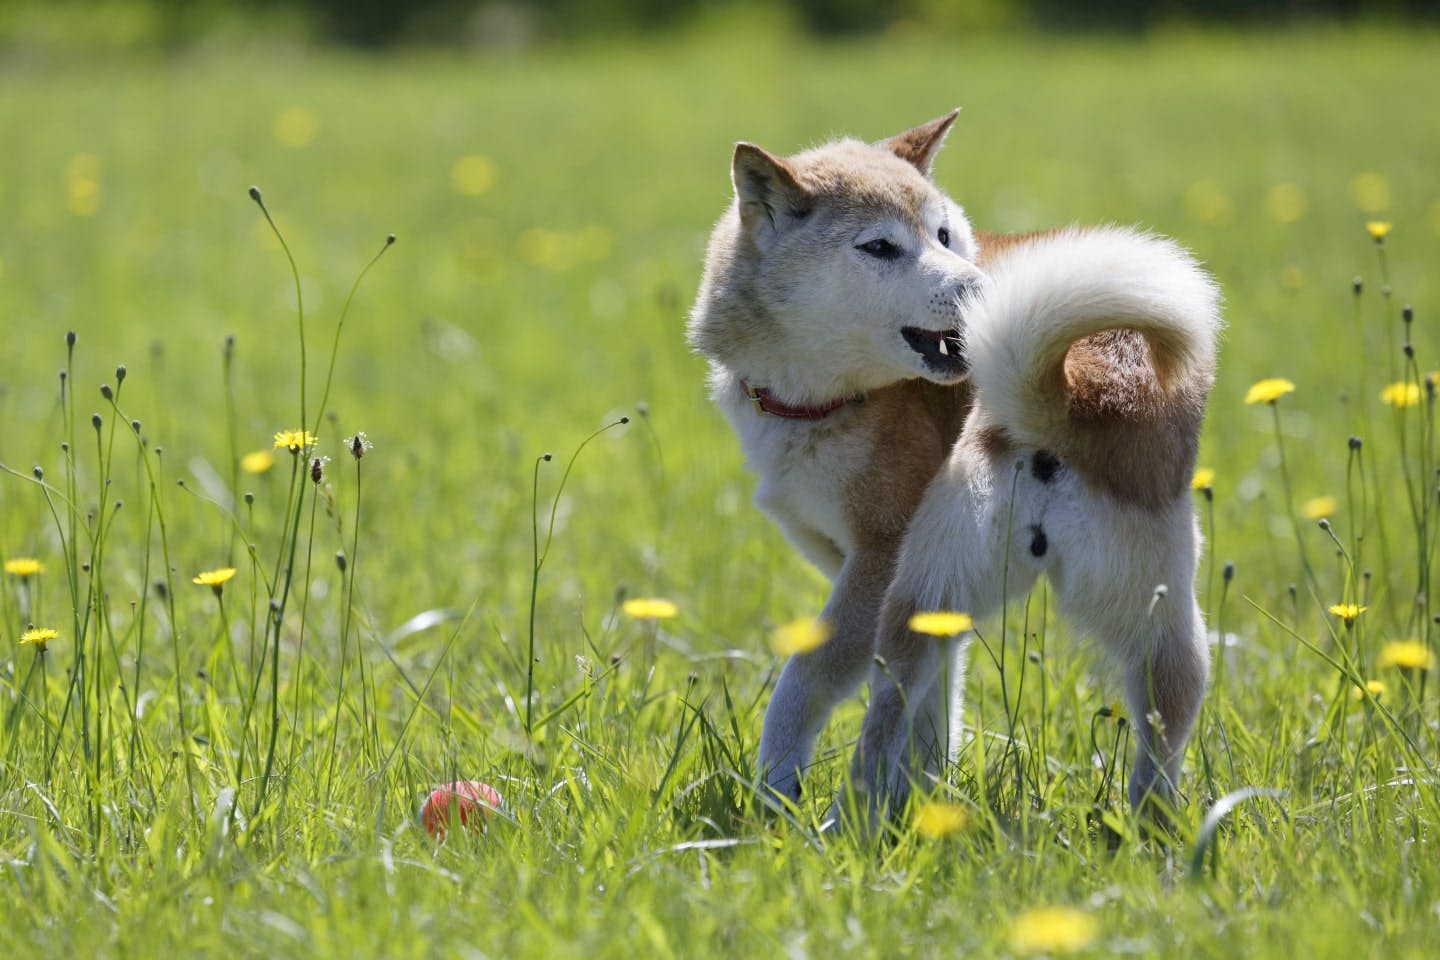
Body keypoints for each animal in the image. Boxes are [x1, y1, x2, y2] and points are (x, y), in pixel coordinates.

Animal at [685, 108, 1215, 823]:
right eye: (880, 247)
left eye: (941, 236)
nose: (984, 291)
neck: (831, 398)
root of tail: (1076, 389)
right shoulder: (936, 606)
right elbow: (937, 717)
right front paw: (926, 804)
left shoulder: (877, 563)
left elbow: (807, 684)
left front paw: (777, 792)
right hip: (1153, 615)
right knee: (1164, 731)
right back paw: (1147, 827)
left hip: (914, 590)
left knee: (878, 718)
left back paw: (843, 823)